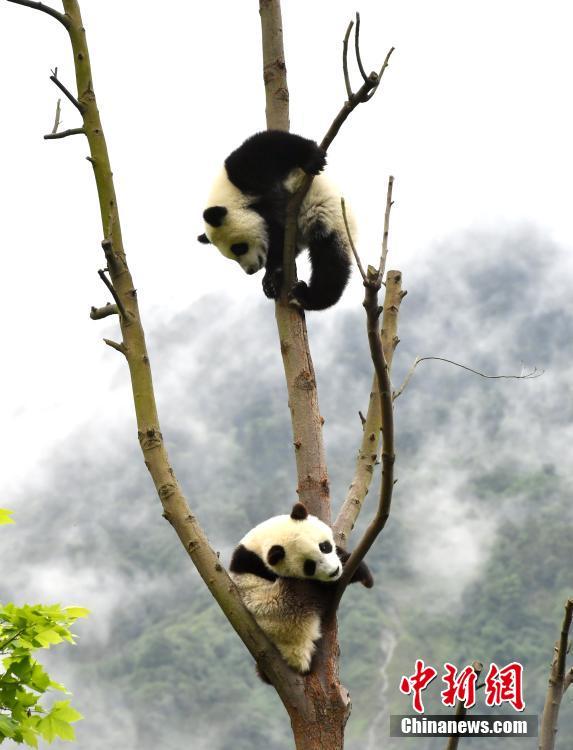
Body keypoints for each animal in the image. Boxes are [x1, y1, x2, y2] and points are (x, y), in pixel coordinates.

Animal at [199, 131, 356, 310]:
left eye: (239, 248)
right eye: (231, 256)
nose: (250, 271)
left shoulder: (242, 173)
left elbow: (273, 144)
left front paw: (313, 158)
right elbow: (277, 240)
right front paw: (270, 280)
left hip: (327, 217)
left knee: (330, 263)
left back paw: (306, 296)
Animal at [228, 502, 370, 680]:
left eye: (324, 547)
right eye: (309, 566)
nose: (334, 572)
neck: (258, 549)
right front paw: (357, 571)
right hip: (282, 612)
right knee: (304, 594)